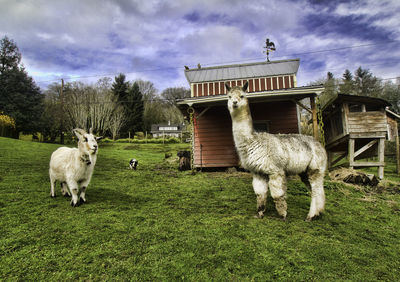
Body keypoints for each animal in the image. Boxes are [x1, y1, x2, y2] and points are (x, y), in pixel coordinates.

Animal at [227, 81, 326, 220]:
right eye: (229, 97)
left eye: (242, 96)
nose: (235, 102)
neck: (253, 141)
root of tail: (319, 143)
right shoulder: (258, 172)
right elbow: (260, 193)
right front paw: (260, 213)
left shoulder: (275, 170)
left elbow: (277, 194)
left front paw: (283, 214)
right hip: (305, 171)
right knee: (317, 191)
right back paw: (318, 213)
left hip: (315, 167)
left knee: (317, 190)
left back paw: (310, 216)